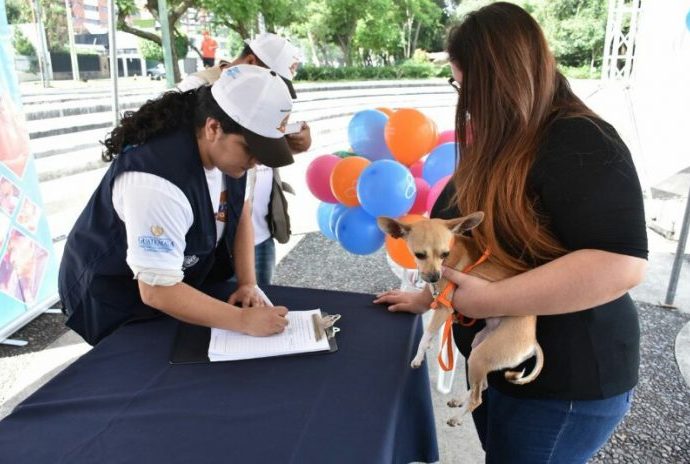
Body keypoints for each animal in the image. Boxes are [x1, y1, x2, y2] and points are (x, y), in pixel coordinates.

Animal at [376, 212, 544, 422]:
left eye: (445, 254)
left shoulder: (444, 310)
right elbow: (429, 334)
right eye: (419, 255)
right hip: (478, 348)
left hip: (479, 357)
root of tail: (532, 342)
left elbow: (425, 336)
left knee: (478, 399)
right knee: (482, 386)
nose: (434, 277)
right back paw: (459, 401)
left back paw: (457, 418)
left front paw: (418, 357)